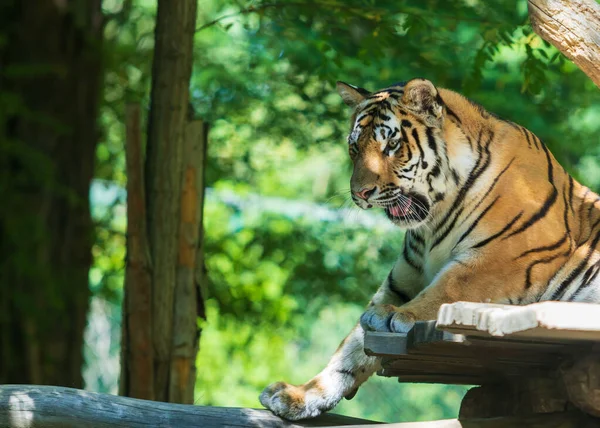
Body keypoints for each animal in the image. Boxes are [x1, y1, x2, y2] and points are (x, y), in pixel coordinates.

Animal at [258, 78, 600, 420]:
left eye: (391, 145)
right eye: (354, 147)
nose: (360, 193)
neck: (433, 221)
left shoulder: (509, 254)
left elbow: (449, 286)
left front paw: (400, 314)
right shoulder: (399, 283)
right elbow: (351, 347)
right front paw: (302, 395)